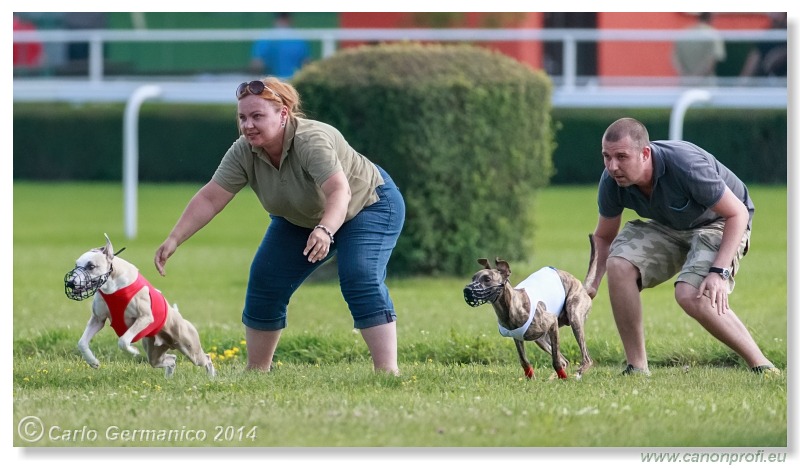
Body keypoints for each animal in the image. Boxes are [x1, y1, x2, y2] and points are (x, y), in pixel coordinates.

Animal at [65, 232, 216, 378]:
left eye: (91, 266)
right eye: (76, 265)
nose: (70, 283)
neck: (112, 287)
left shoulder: (145, 317)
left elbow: (123, 341)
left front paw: (133, 351)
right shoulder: (98, 319)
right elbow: (82, 343)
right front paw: (93, 362)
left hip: (189, 347)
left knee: (206, 358)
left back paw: (212, 377)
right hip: (155, 352)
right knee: (171, 359)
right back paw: (169, 378)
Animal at [466, 236, 596, 378]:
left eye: (487, 279)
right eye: (473, 278)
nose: (466, 290)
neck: (510, 308)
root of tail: (583, 287)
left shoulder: (552, 322)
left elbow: (555, 359)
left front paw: (562, 377)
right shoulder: (517, 337)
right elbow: (524, 360)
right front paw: (531, 378)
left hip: (574, 317)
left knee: (585, 358)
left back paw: (576, 374)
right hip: (541, 339)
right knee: (565, 361)